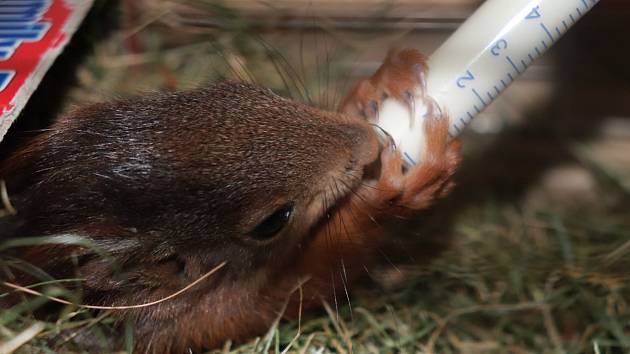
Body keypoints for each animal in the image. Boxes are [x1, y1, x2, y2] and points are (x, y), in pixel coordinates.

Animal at [2, 48, 462, 352]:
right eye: (273, 221)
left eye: (243, 90)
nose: (368, 141)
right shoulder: (202, 321)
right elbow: (317, 274)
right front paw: (397, 191)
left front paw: (384, 82)